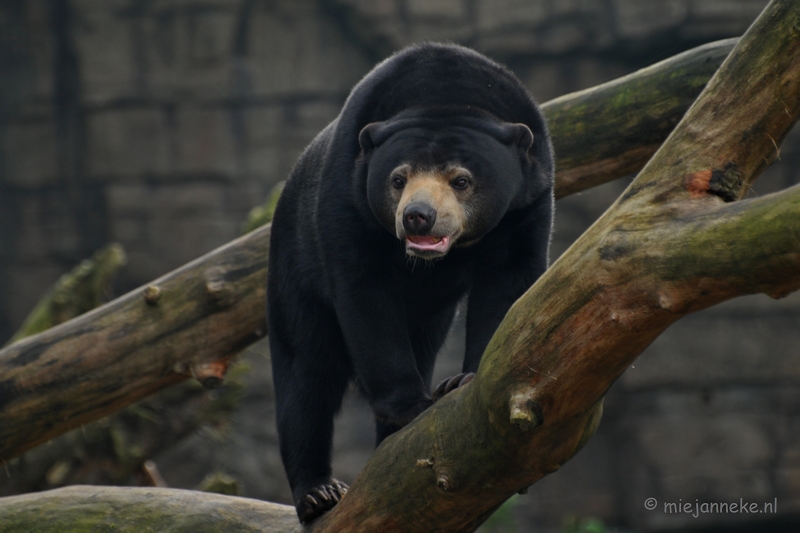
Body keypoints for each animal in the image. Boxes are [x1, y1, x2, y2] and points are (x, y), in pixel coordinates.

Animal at [266, 42, 552, 524]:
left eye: (461, 180)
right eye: (397, 179)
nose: (418, 216)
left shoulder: (528, 202)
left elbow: (509, 283)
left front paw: (463, 380)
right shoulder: (347, 194)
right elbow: (365, 293)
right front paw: (412, 406)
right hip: (292, 267)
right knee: (306, 373)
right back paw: (319, 492)